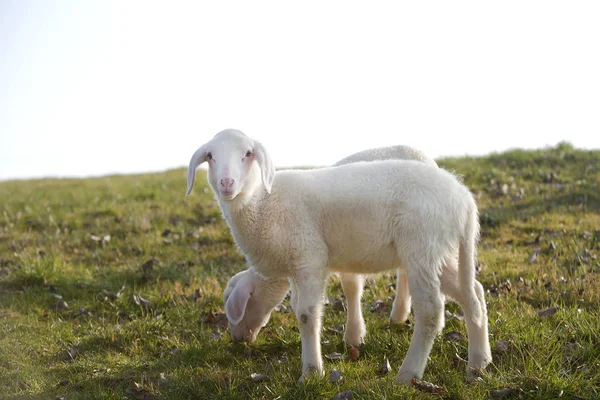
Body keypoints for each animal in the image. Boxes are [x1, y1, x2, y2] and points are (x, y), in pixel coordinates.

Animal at [188, 130, 492, 382]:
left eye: (248, 154)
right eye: (210, 156)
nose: (227, 183)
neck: (262, 204)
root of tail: (464, 200)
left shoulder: (309, 256)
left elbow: (307, 315)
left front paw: (312, 372)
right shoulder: (300, 264)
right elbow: (303, 305)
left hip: (422, 248)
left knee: (431, 312)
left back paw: (409, 373)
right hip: (437, 252)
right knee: (474, 295)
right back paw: (479, 363)